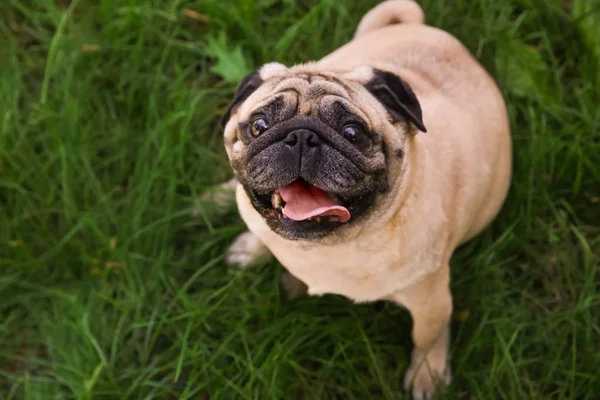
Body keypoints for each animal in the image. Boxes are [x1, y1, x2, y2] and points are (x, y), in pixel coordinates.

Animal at [210, 1, 510, 398]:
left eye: (352, 133)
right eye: (259, 126)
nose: (301, 136)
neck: (328, 246)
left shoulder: (430, 297)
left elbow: (428, 336)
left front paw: (428, 375)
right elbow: (262, 234)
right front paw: (250, 247)